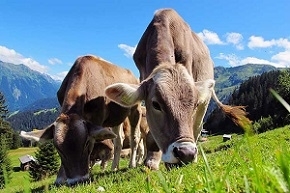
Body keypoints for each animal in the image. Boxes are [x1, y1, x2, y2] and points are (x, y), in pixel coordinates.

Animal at [19, 55, 141, 185]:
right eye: (57, 148)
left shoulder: (97, 118)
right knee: (119, 139)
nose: (77, 181)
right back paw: (114, 167)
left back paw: (132, 163)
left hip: (135, 108)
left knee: (135, 136)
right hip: (116, 117)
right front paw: (61, 177)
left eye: (86, 143)